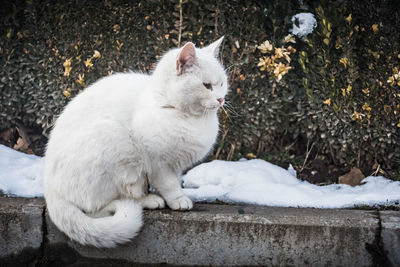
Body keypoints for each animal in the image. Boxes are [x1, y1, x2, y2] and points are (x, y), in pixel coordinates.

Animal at [43, 36, 228, 248]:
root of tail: (49, 190)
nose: (221, 99)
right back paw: (148, 201)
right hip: (112, 140)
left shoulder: (176, 164)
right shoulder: (158, 163)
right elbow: (169, 184)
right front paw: (178, 199)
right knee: (99, 207)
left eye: (222, 83)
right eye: (207, 85)